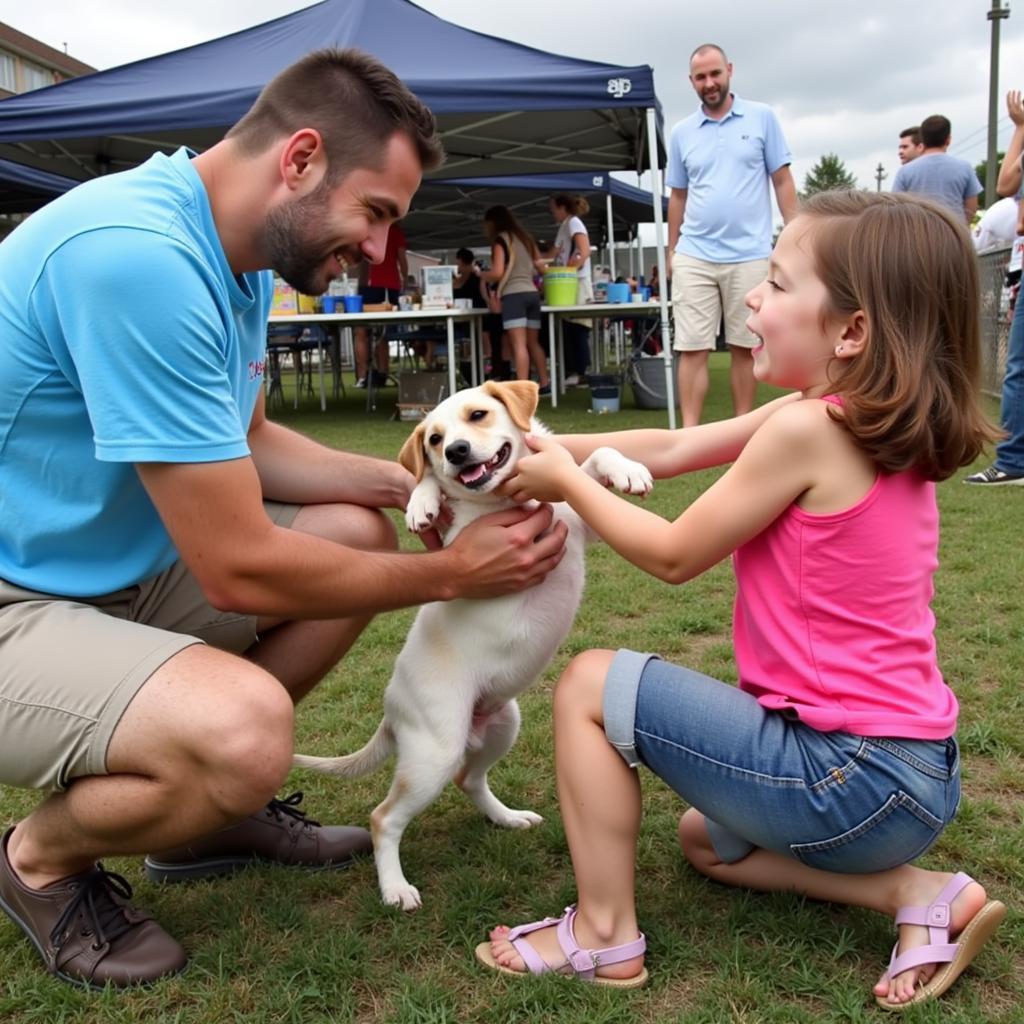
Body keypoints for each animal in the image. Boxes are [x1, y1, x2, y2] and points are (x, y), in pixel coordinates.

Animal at [292, 380, 651, 909]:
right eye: (434, 440)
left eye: (478, 415)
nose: (457, 452)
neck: (508, 502)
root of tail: (392, 705)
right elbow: (432, 490)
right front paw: (423, 500)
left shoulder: (577, 524)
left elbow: (590, 463)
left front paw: (628, 469)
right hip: (434, 753)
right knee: (384, 818)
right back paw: (395, 889)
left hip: (502, 722)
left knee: (470, 779)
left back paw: (507, 817)